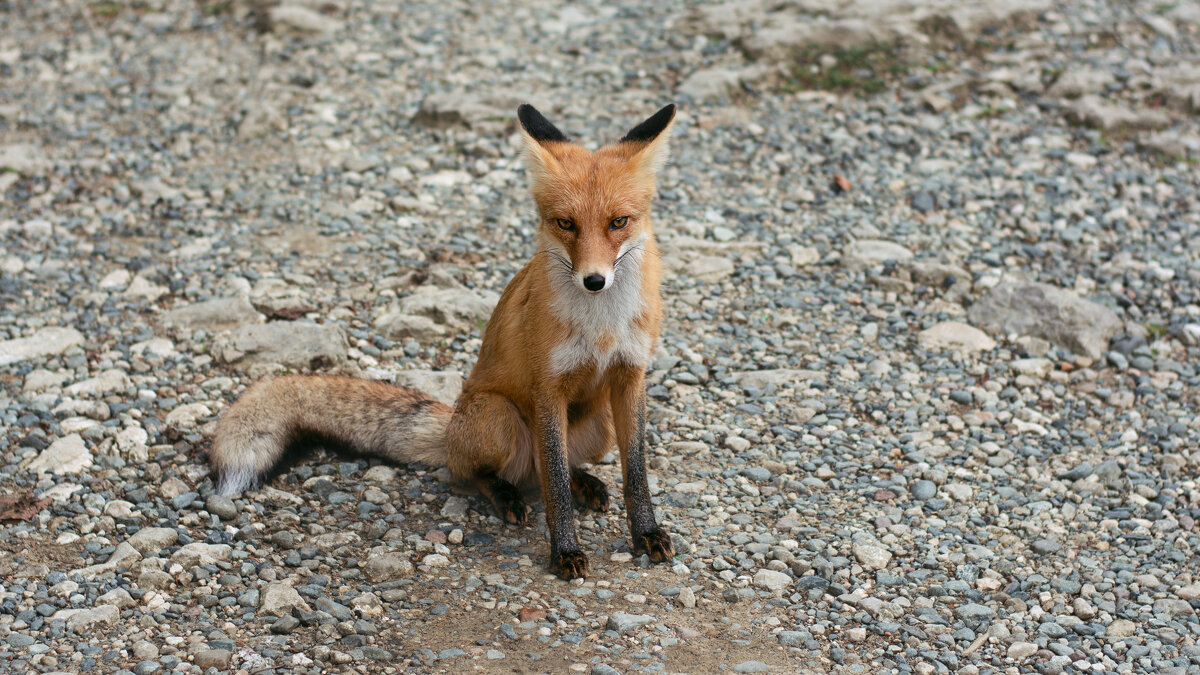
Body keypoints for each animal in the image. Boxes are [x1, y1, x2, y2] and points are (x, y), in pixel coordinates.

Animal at [212, 102, 681, 576]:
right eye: (565, 223)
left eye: (618, 222)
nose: (594, 280)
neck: (602, 325)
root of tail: (452, 422)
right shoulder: (549, 388)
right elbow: (555, 490)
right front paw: (565, 551)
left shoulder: (630, 377)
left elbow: (635, 474)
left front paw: (646, 533)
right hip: (500, 417)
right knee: (491, 474)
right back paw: (505, 494)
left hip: (601, 422)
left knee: (559, 467)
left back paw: (585, 481)